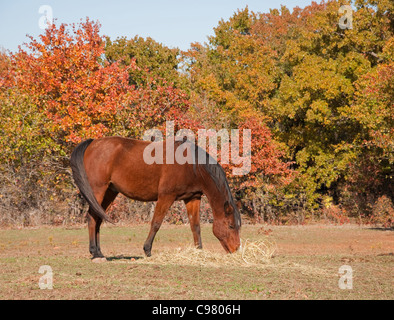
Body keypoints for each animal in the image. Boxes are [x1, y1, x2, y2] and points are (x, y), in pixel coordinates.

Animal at [71, 137, 242, 260]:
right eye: (231, 226)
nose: (236, 250)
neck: (190, 165)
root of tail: (93, 143)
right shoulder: (166, 197)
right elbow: (156, 223)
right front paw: (147, 250)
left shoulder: (192, 198)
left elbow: (195, 226)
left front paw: (198, 250)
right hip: (98, 190)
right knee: (92, 218)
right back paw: (95, 253)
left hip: (109, 192)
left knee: (98, 219)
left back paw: (99, 252)